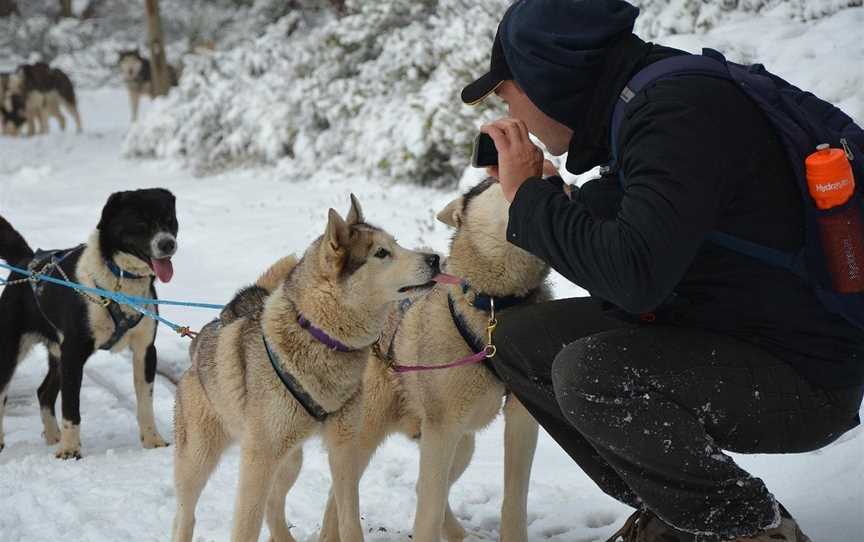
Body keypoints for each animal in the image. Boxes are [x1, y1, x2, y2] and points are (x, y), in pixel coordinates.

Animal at [0, 189, 179, 462]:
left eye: (169, 220)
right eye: (141, 223)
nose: (168, 243)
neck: (119, 281)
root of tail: (27, 260)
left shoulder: (145, 350)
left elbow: (145, 403)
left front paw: (153, 440)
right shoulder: (74, 353)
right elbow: (71, 408)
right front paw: (70, 450)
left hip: (57, 353)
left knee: (43, 392)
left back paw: (53, 436)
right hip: (12, 349)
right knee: (4, 393)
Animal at [172, 196, 442, 542]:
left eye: (396, 243)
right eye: (382, 253)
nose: (435, 258)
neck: (320, 336)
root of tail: (203, 336)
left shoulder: (343, 449)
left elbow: (348, 518)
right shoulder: (258, 460)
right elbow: (245, 526)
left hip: (291, 459)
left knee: (273, 504)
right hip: (200, 459)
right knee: (186, 514)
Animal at [318, 180, 552, 542]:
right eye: (494, 179)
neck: (494, 306)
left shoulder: (520, 417)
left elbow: (514, 498)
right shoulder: (442, 429)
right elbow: (428, 510)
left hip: (461, 442)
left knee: (422, 486)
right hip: (369, 430)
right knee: (341, 491)